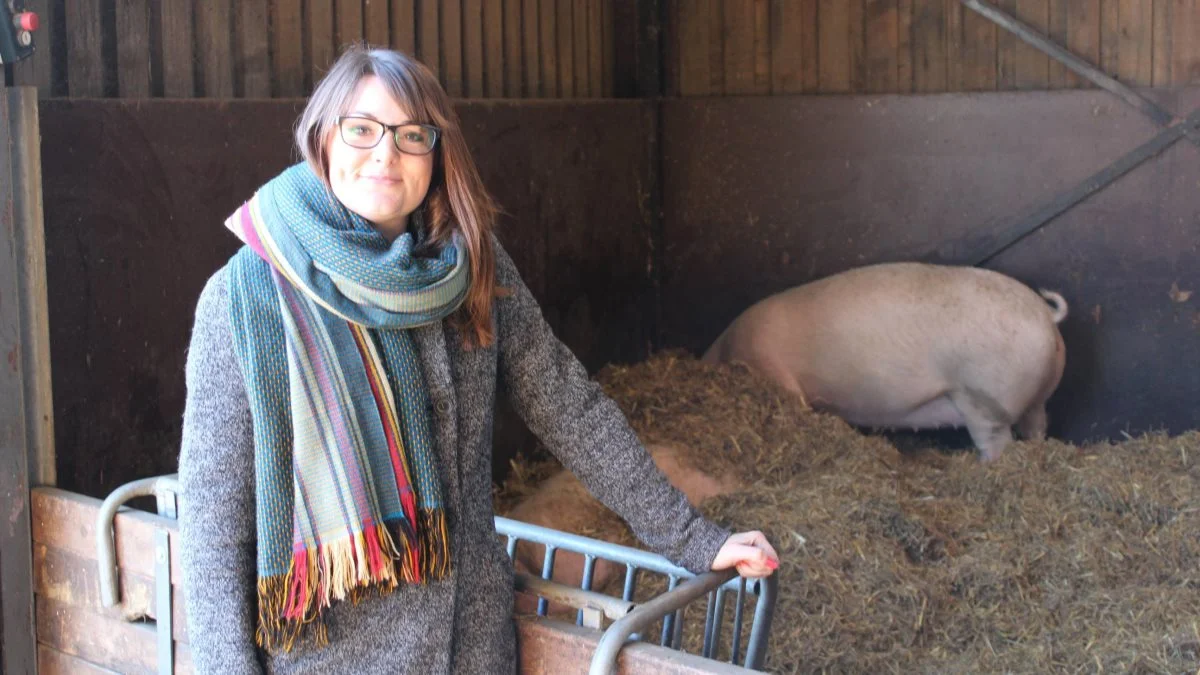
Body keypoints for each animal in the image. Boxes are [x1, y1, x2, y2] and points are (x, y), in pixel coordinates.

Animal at [700, 260, 1070, 458]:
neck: (726, 348)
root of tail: (1046, 317)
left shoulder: (773, 371)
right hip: (1036, 399)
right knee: (1037, 428)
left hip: (985, 400)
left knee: (997, 444)